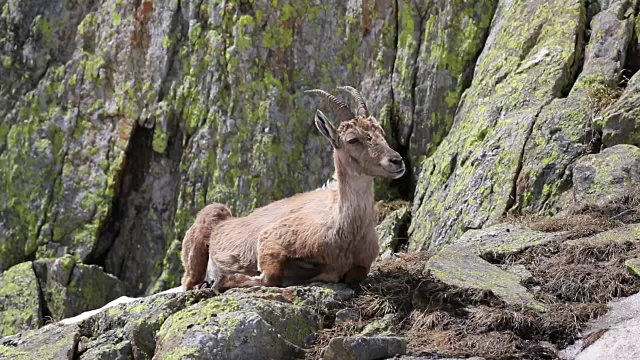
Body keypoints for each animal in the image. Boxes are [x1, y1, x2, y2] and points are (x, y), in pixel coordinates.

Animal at [181, 86, 404, 292]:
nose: (396, 160)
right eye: (352, 139)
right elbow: (271, 277)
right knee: (188, 282)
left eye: (380, 132)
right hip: (202, 237)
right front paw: (222, 280)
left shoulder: (360, 264)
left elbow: (352, 274)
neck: (346, 231)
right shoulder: (270, 239)